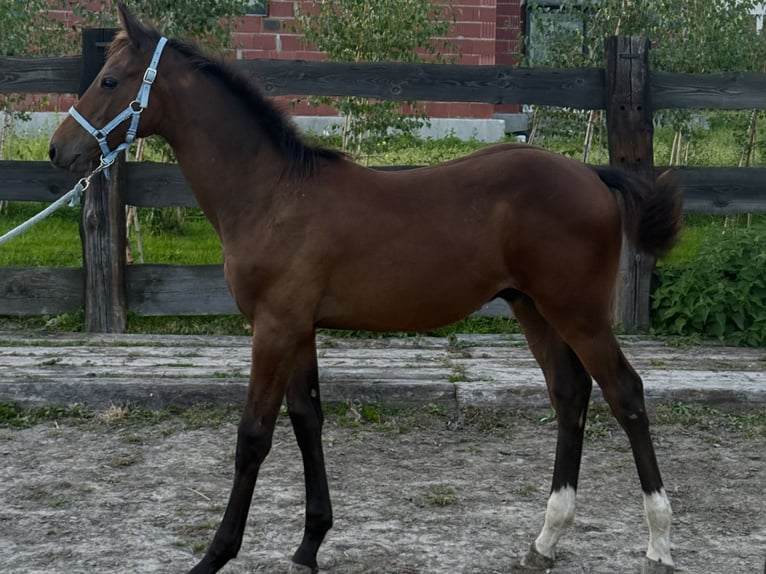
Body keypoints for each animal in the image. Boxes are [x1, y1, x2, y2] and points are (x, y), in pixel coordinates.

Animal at [49, 4, 682, 573]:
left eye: (109, 80)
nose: (59, 151)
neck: (273, 192)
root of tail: (593, 173)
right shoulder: (299, 329)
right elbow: (307, 420)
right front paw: (309, 545)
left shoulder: (273, 328)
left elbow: (254, 435)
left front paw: (215, 554)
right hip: (534, 309)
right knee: (570, 395)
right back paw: (546, 541)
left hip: (578, 312)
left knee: (625, 393)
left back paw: (659, 540)